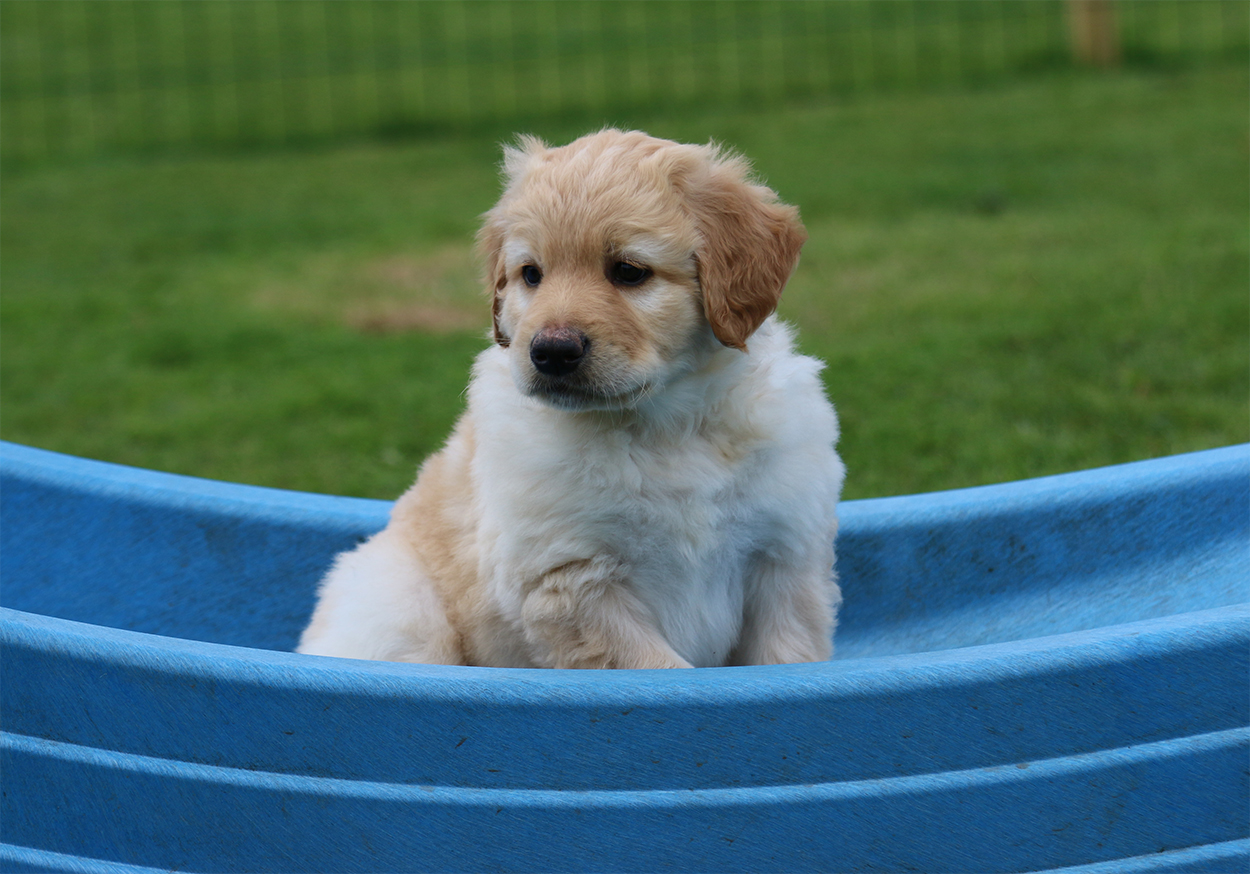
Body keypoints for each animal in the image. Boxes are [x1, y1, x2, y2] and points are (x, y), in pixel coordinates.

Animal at [297, 129, 844, 669]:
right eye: (531, 274)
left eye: (629, 271)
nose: (551, 352)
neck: (665, 425)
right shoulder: (574, 582)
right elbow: (660, 669)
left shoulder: (785, 560)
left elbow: (785, 658)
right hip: (402, 608)